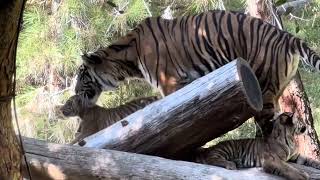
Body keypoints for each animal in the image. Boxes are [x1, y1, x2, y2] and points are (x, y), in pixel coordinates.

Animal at [75, 9, 320, 136]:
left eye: (82, 75)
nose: (76, 92)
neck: (129, 57)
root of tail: (286, 36)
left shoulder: (169, 83)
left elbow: (171, 117)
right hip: (276, 90)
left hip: (264, 90)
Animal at [192, 112, 320, 180]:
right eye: (299, 119)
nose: (306, 124)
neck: (291, 138)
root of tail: (208, 149)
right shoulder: (272, 160)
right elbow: (287, 168)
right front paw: (302, 175)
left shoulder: (295, 156)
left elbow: (310, 159)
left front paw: (317, 165)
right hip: (227, 148)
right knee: (211, 159)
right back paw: (231, 164)